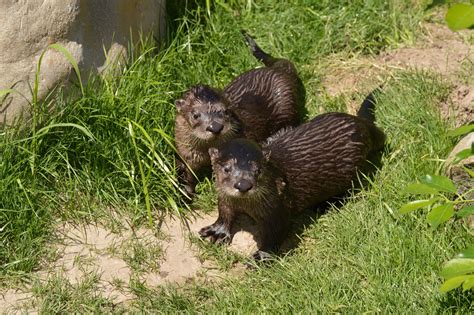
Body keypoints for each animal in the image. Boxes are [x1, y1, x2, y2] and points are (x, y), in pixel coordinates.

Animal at [176, 32, 306, 198]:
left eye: (225, 111)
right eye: (195, 115)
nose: (215, 126)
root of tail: (279, 71)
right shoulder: (186, 154)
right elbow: (188, 176)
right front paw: (186, 195)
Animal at [200, 92, 386, 260]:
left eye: (258, 170)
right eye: (227, 169)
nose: (243, 184)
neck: (247, 206)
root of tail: (360, 123)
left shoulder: (278, 209)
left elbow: (275, 234)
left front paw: (262, 256)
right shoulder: (224, 198)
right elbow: (224, 212)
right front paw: (217, 231)